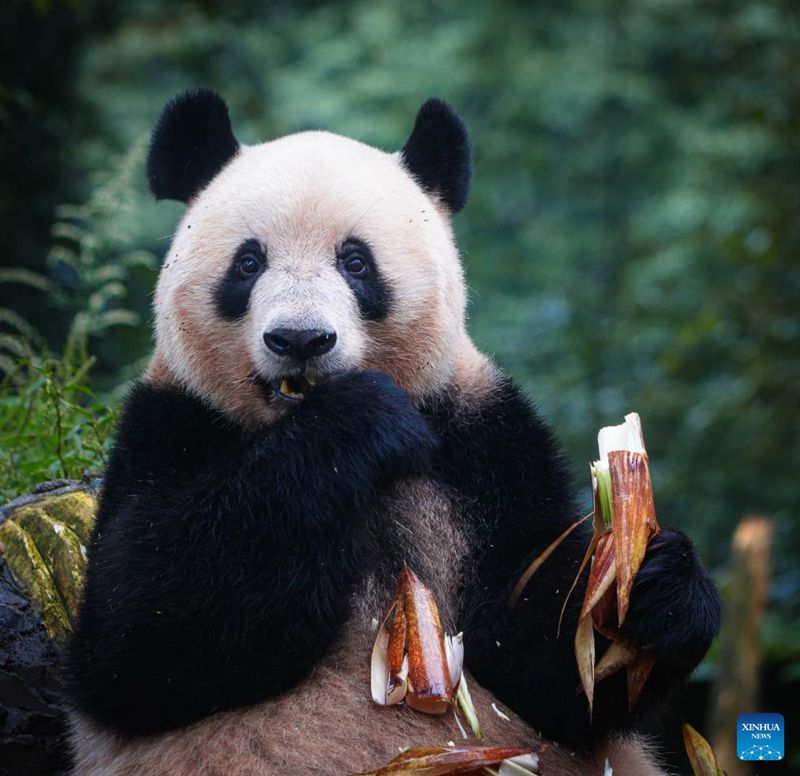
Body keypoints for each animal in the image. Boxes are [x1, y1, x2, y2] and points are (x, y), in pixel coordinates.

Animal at [65, 92, 720, 776]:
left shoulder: (481, 437)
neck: (287, 421)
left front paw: (656, 588)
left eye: (356, 263)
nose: (300, 339)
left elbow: (541, 663)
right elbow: (140, 636)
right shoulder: (172, 424)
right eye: (248, 263)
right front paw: (359, 420)